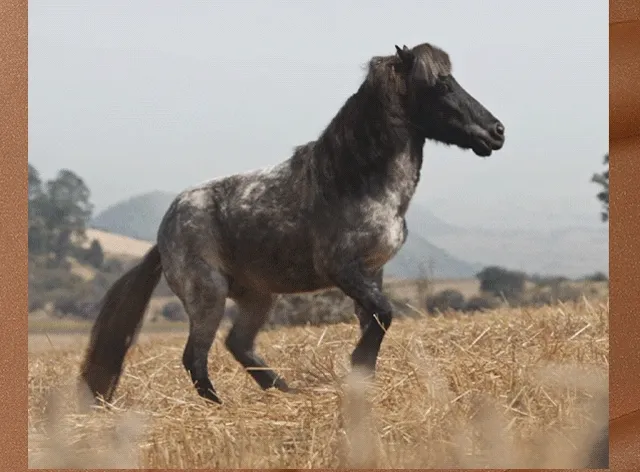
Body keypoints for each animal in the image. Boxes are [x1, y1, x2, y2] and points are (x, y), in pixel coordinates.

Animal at [79, 42, 506, 405]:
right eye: (442, 85)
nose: (497, 131)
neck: (357, 181)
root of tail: (165, 228)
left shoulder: (372, 272)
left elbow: (373, 322)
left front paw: (361, 380)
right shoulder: (342, 269)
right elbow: (383, 315)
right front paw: (355, 368)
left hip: (257, 296)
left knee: (238, 344)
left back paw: (285, 391)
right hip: (208, 294)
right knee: (195, 357)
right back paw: (224, 406)